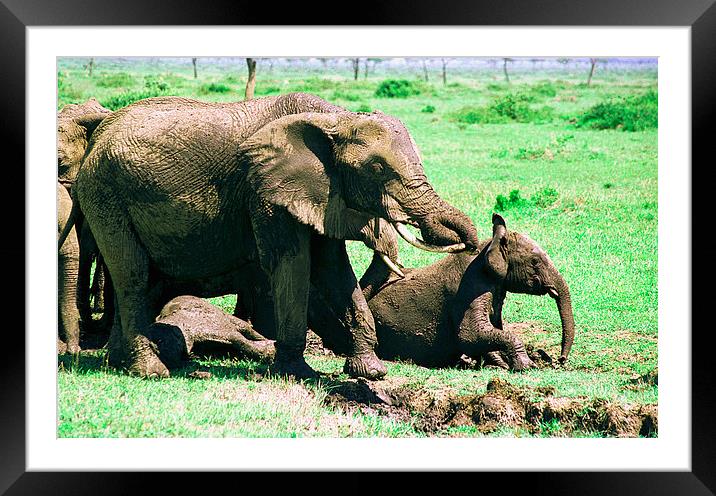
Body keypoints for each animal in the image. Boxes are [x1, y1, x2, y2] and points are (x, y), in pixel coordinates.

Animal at [75, 93, 478, 380]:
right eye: (377, 168)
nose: (473, 246)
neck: (336, 118)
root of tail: (100, 132)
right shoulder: (266, 192)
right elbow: (293, 263)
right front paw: (297, 373)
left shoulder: (322, 191)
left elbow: (334, 270)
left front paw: (371, 372)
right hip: (103, 191)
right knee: (133, 276)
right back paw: (149, 371)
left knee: (142, 280)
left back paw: (117, 363)